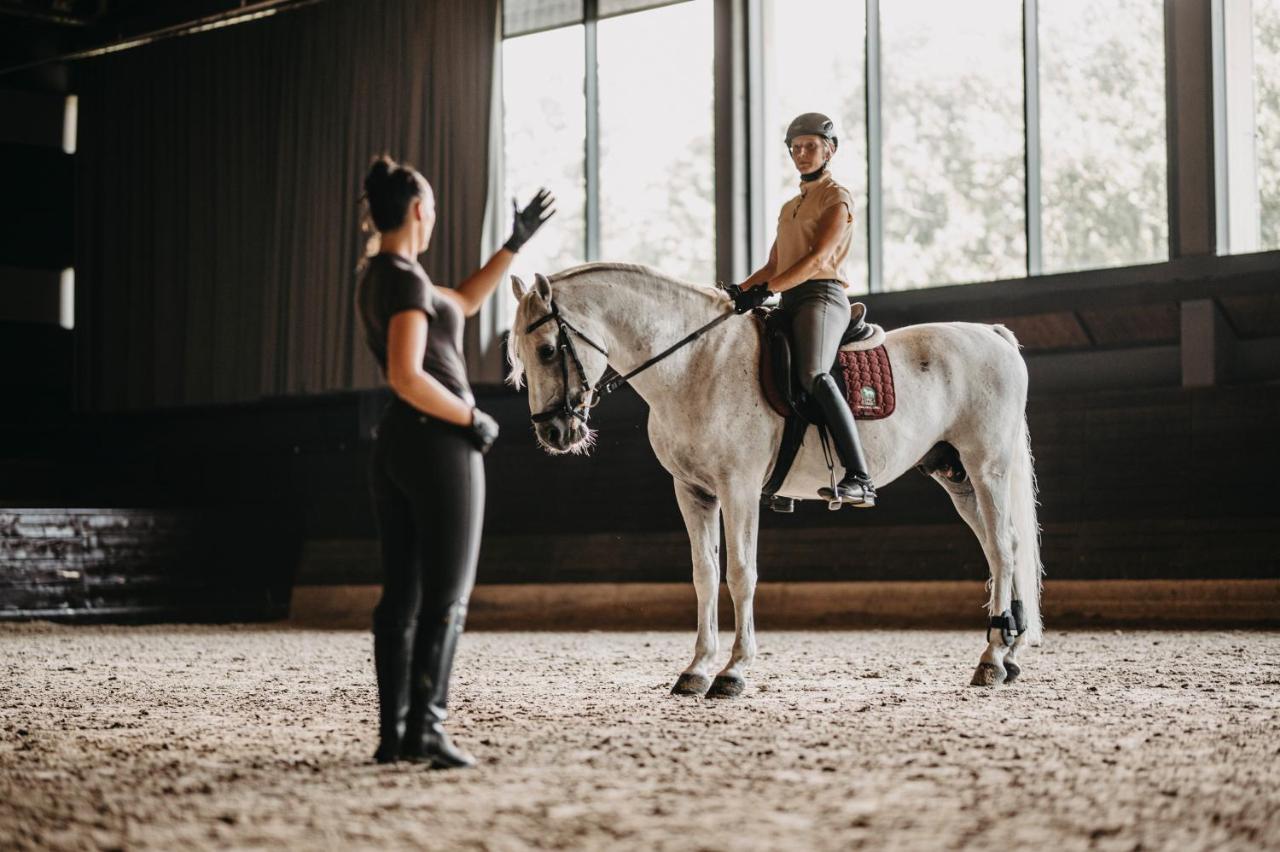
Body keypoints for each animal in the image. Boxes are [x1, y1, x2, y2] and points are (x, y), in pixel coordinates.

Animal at [504, 262, 1044, 695]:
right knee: (1004, 550)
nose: (554, 432)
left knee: (1002, 549)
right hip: (957, 478)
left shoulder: (738, 487)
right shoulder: (693, 492)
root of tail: (992, 334)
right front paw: (696, 669)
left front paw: (733, 672)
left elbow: (741, 574)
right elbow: (704, 575)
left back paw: (991, 660)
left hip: (987, 467)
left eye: (548, 350)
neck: (696, 363)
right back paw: (1010, 653)